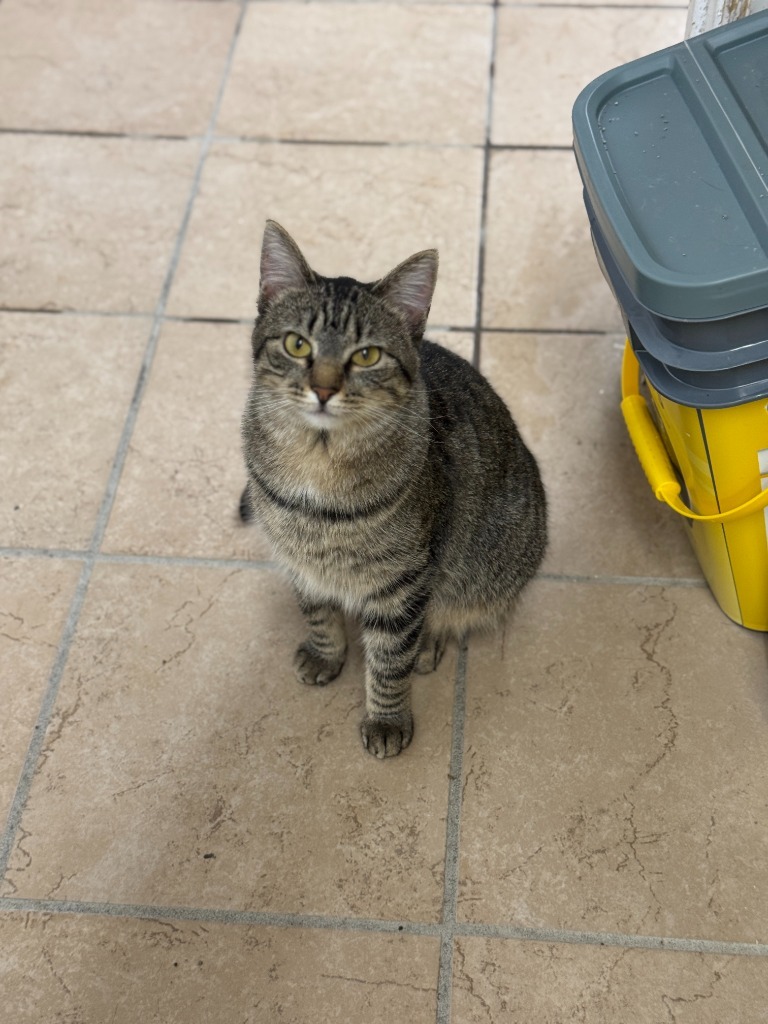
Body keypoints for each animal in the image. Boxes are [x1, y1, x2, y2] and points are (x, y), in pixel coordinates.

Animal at [240, 224, 548, 757]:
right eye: (297, 345)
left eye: (367, 355)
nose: (324, 390)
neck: (318, 463)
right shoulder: (299, 561)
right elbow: (317, 614)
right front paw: (326, 653)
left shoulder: (402, 583)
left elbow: (388, 660)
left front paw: (386, 719)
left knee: (444, 614)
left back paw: (428, 643)